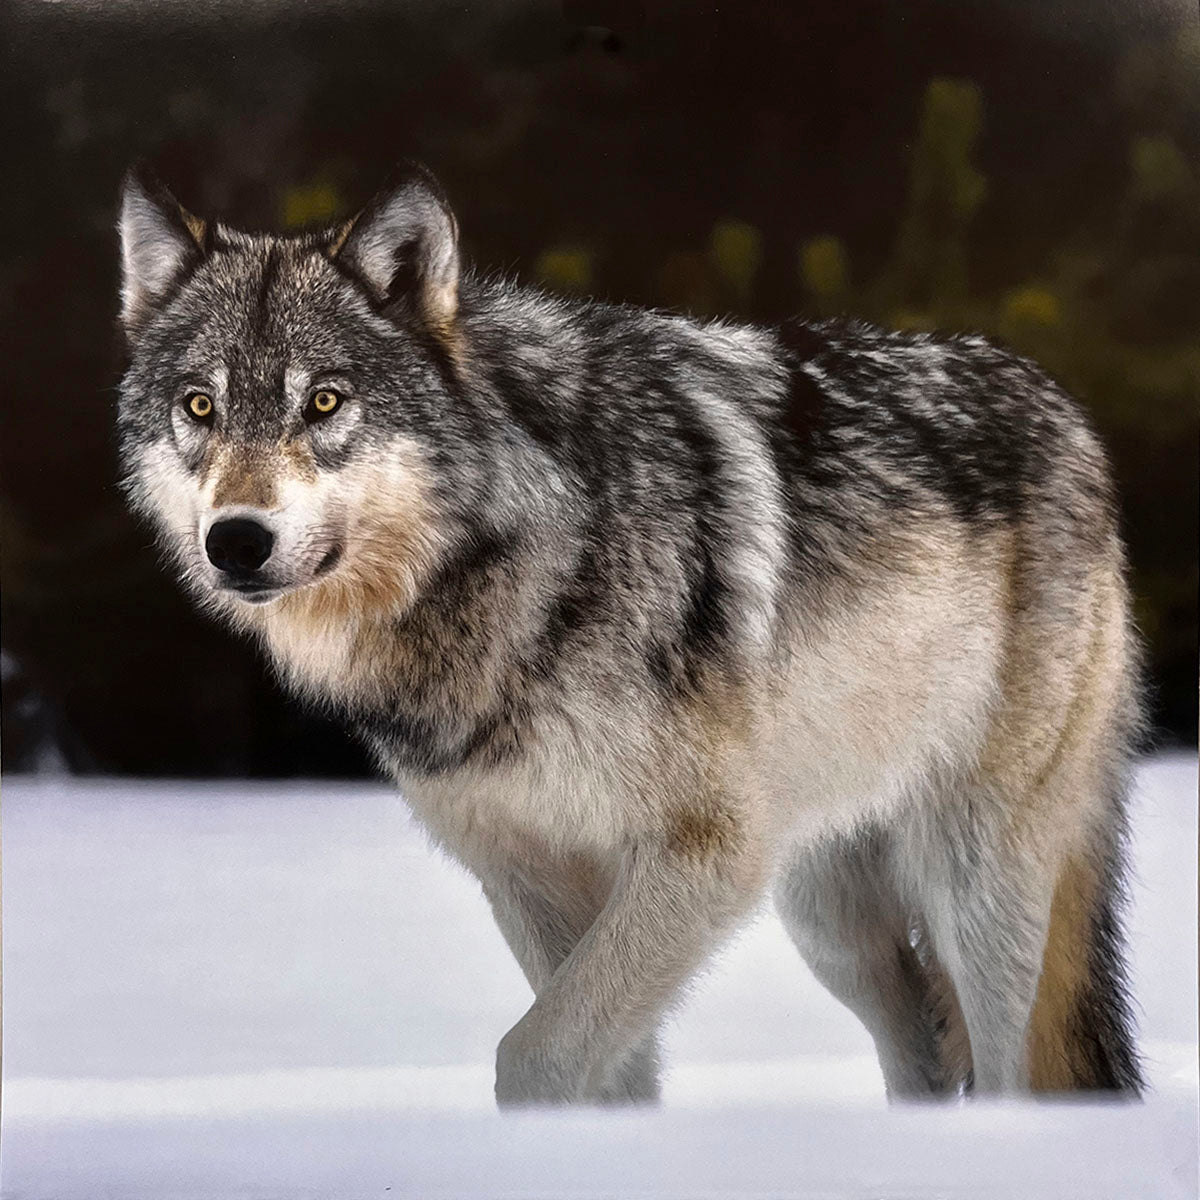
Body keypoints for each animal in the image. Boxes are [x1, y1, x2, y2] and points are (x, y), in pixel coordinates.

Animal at [116, 162, 1144, 1105]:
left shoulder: (701, 858)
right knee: (925, 1047)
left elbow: (534, 1057)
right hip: (827, 915)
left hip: (968, 876)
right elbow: (603, 1068)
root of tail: (1069, 414)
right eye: (200, 406)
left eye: (325, 402)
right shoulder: (529, 875)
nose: (236, 541)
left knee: (1010, 1066)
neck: (526, 565)